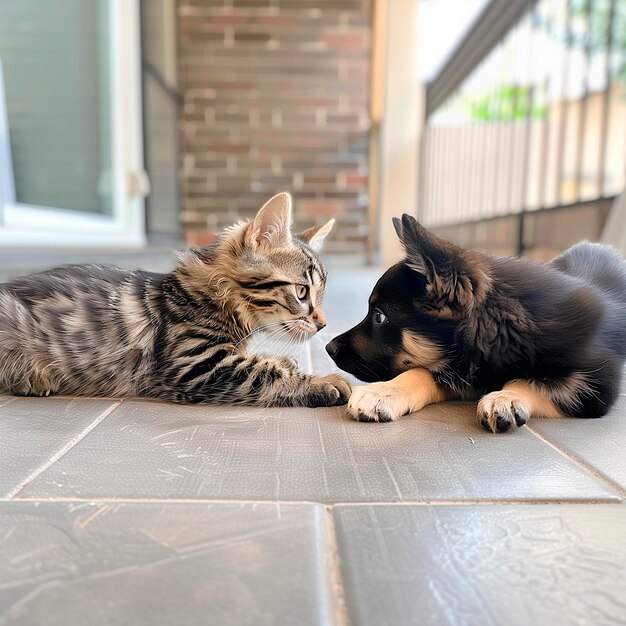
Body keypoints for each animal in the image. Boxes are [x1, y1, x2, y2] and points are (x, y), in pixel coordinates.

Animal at [0, 194, 352, 404]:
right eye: (302, 292)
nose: (323, 325)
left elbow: (259, 361)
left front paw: (283, 360)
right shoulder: (196, 363)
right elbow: (264, 374)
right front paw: (322, 382)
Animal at [326, 213, 624, 428]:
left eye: (379, 317)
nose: (329, 348)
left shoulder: (595, 385)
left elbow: (530, 380)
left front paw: (506, 396)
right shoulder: (466, 368)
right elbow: (422, 371)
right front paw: (385, 392)